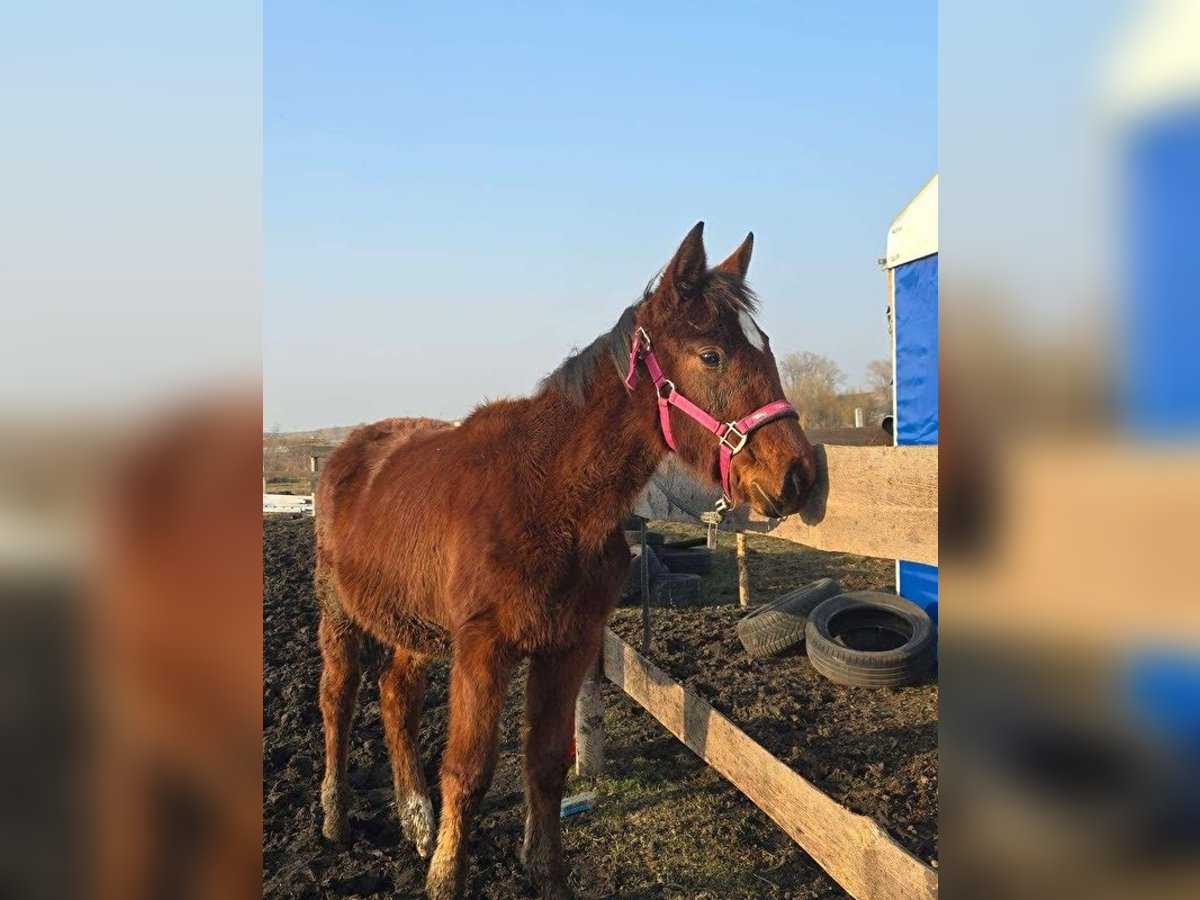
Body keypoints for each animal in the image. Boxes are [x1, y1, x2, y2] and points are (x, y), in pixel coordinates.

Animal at [312, 222, 817, 899]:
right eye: (711, 355)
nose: (796, 475)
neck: (549, 496)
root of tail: (345, 452)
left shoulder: (568, 645)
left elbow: (547, 763)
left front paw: (545, 872)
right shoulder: (482, 649)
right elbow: (468, 770)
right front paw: (447, 878)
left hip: (414, 626)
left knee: (397, 697)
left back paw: (416, 823)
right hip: (339, 616)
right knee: (338, 698)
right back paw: (336, 816)